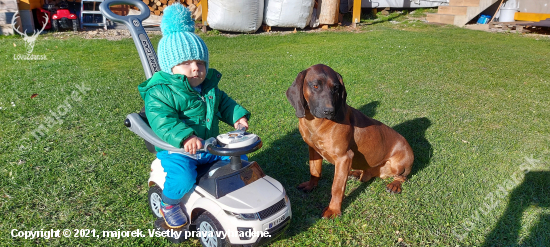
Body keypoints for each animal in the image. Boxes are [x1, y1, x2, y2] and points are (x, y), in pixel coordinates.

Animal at [288, 63, 414, 218]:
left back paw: (395, 184)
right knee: (367, 173)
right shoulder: (313, 150)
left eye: (336, 88)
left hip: (399, 165)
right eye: (315, 86)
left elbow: (336, 187)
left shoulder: (343, 158)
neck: (317, 124)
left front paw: (333, 210)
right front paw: (311, 185)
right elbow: (314, 171)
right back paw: (357, 173)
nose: (329, 111)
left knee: (402, 177)